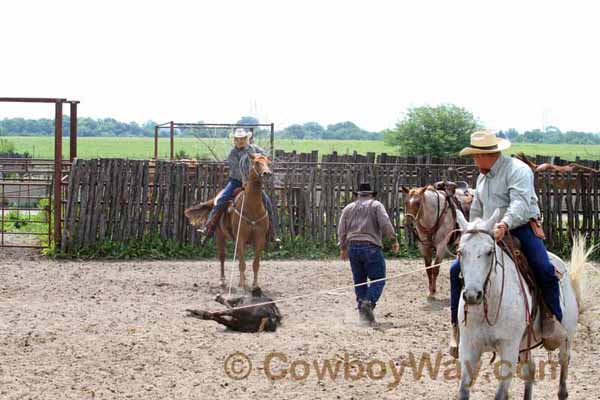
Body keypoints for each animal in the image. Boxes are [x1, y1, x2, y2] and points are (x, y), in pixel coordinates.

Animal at [185, 154, 274, 290]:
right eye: (256, 162)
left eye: (268, 163)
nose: (267, 173)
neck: (252, 208)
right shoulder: (240, 238)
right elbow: (242, 263)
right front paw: (242, 285)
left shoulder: (259, 239)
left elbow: (255, 263)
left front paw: (255, 285)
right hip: (220, 236)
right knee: (222, 257)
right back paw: (223, 281)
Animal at [458, 209, 588, 400]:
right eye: (460, 252)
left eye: (489, 251)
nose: (472, 295)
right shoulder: (469, 347)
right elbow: (463, 391)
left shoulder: (509, 349)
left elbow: (501, 394)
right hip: (525, 344)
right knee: (530, 369)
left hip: (566, 338)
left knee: (563, 367)